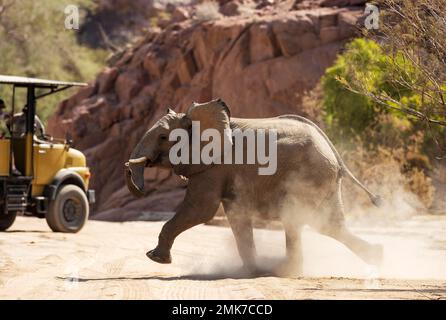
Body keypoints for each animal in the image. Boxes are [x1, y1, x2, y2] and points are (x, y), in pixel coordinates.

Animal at [125, 98, 384, 276]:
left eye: (162, 137)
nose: (139, 185)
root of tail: (333, 152)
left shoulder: (215, 166)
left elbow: (201, 209)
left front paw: (155, 258)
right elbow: (235, 215)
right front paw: (251, 272)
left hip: (308, 176)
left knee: (296, 219)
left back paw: (285, 271)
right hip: (324, 180)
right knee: (328, 225)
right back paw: (378, 257)